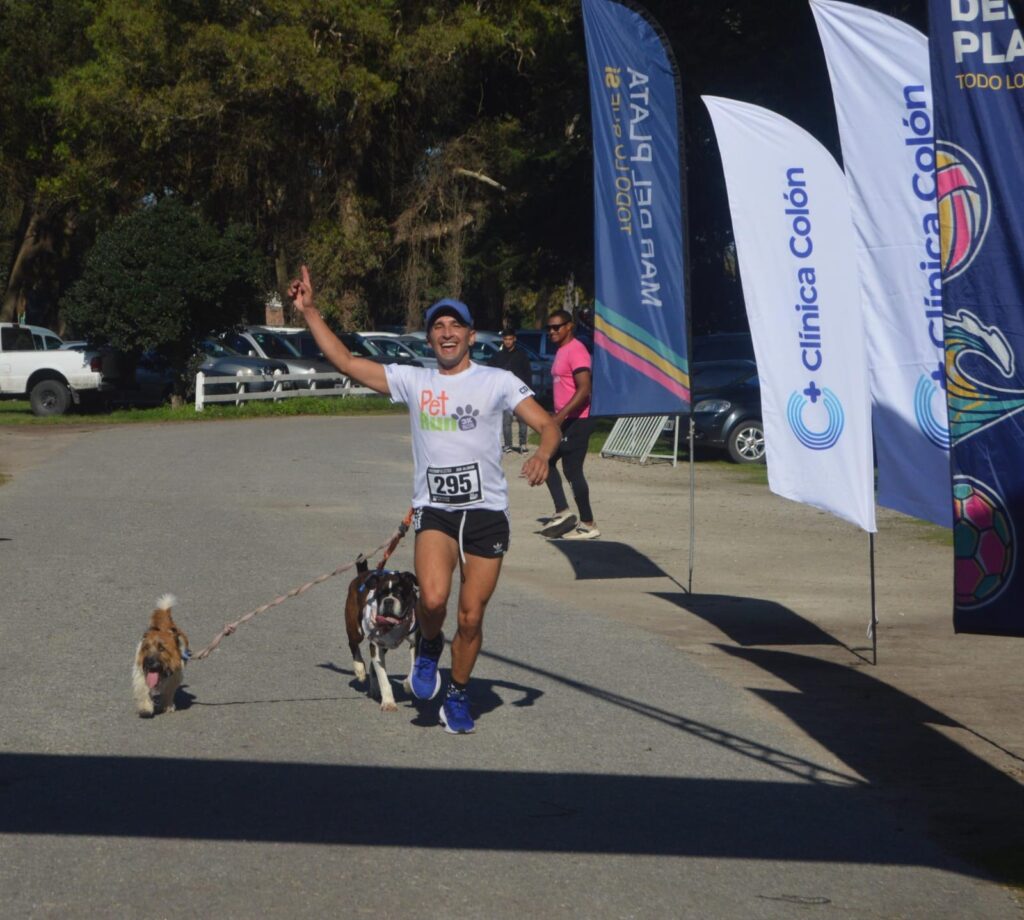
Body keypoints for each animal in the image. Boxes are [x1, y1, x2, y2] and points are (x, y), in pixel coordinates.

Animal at [345, 559, 419, 711]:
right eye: (380, 594)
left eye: (400, 593)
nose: (388, 600)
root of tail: (362, 574)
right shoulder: (377, 646)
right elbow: (383, 677)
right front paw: (389, 702)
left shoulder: (415, 642)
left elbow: (414, 668)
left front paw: (409, 685)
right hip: (356, 629)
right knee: (353, 643)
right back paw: (359, 669)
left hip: (386, 645)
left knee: (372, 666)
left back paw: (373, 689)